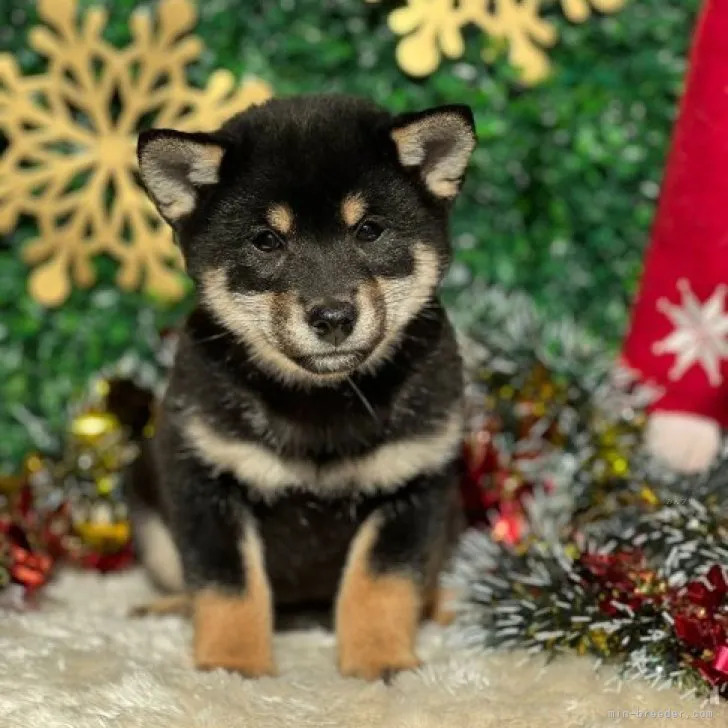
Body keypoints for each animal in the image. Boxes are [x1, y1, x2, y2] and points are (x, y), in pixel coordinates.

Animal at [131, 95, 478, 684]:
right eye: (267, 240)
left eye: (370, 230)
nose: (333, 317)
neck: (321, 406)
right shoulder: (205, 480)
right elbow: (228, 587)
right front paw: (232, 667)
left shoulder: (415, 483)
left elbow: (381, 584)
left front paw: (381, 660)